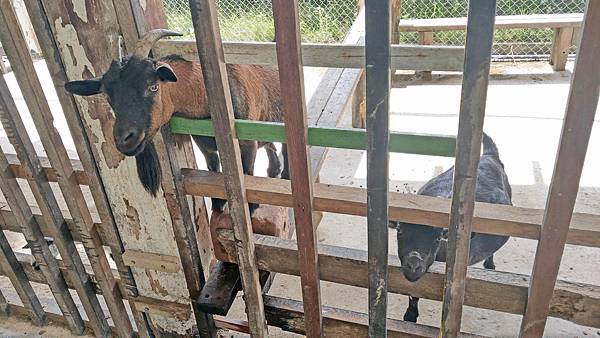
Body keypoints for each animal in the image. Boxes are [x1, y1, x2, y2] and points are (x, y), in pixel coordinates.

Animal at [65, 29, 288, 214]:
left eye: (153, 86)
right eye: (108, 96)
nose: (125, 139)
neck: (204, 96)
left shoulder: (246, 142)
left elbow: (248, 176)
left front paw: (252, 208)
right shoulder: (203, 145)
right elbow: (213, 169)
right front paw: (217, 204)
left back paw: (284, 175)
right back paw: (274, 170)